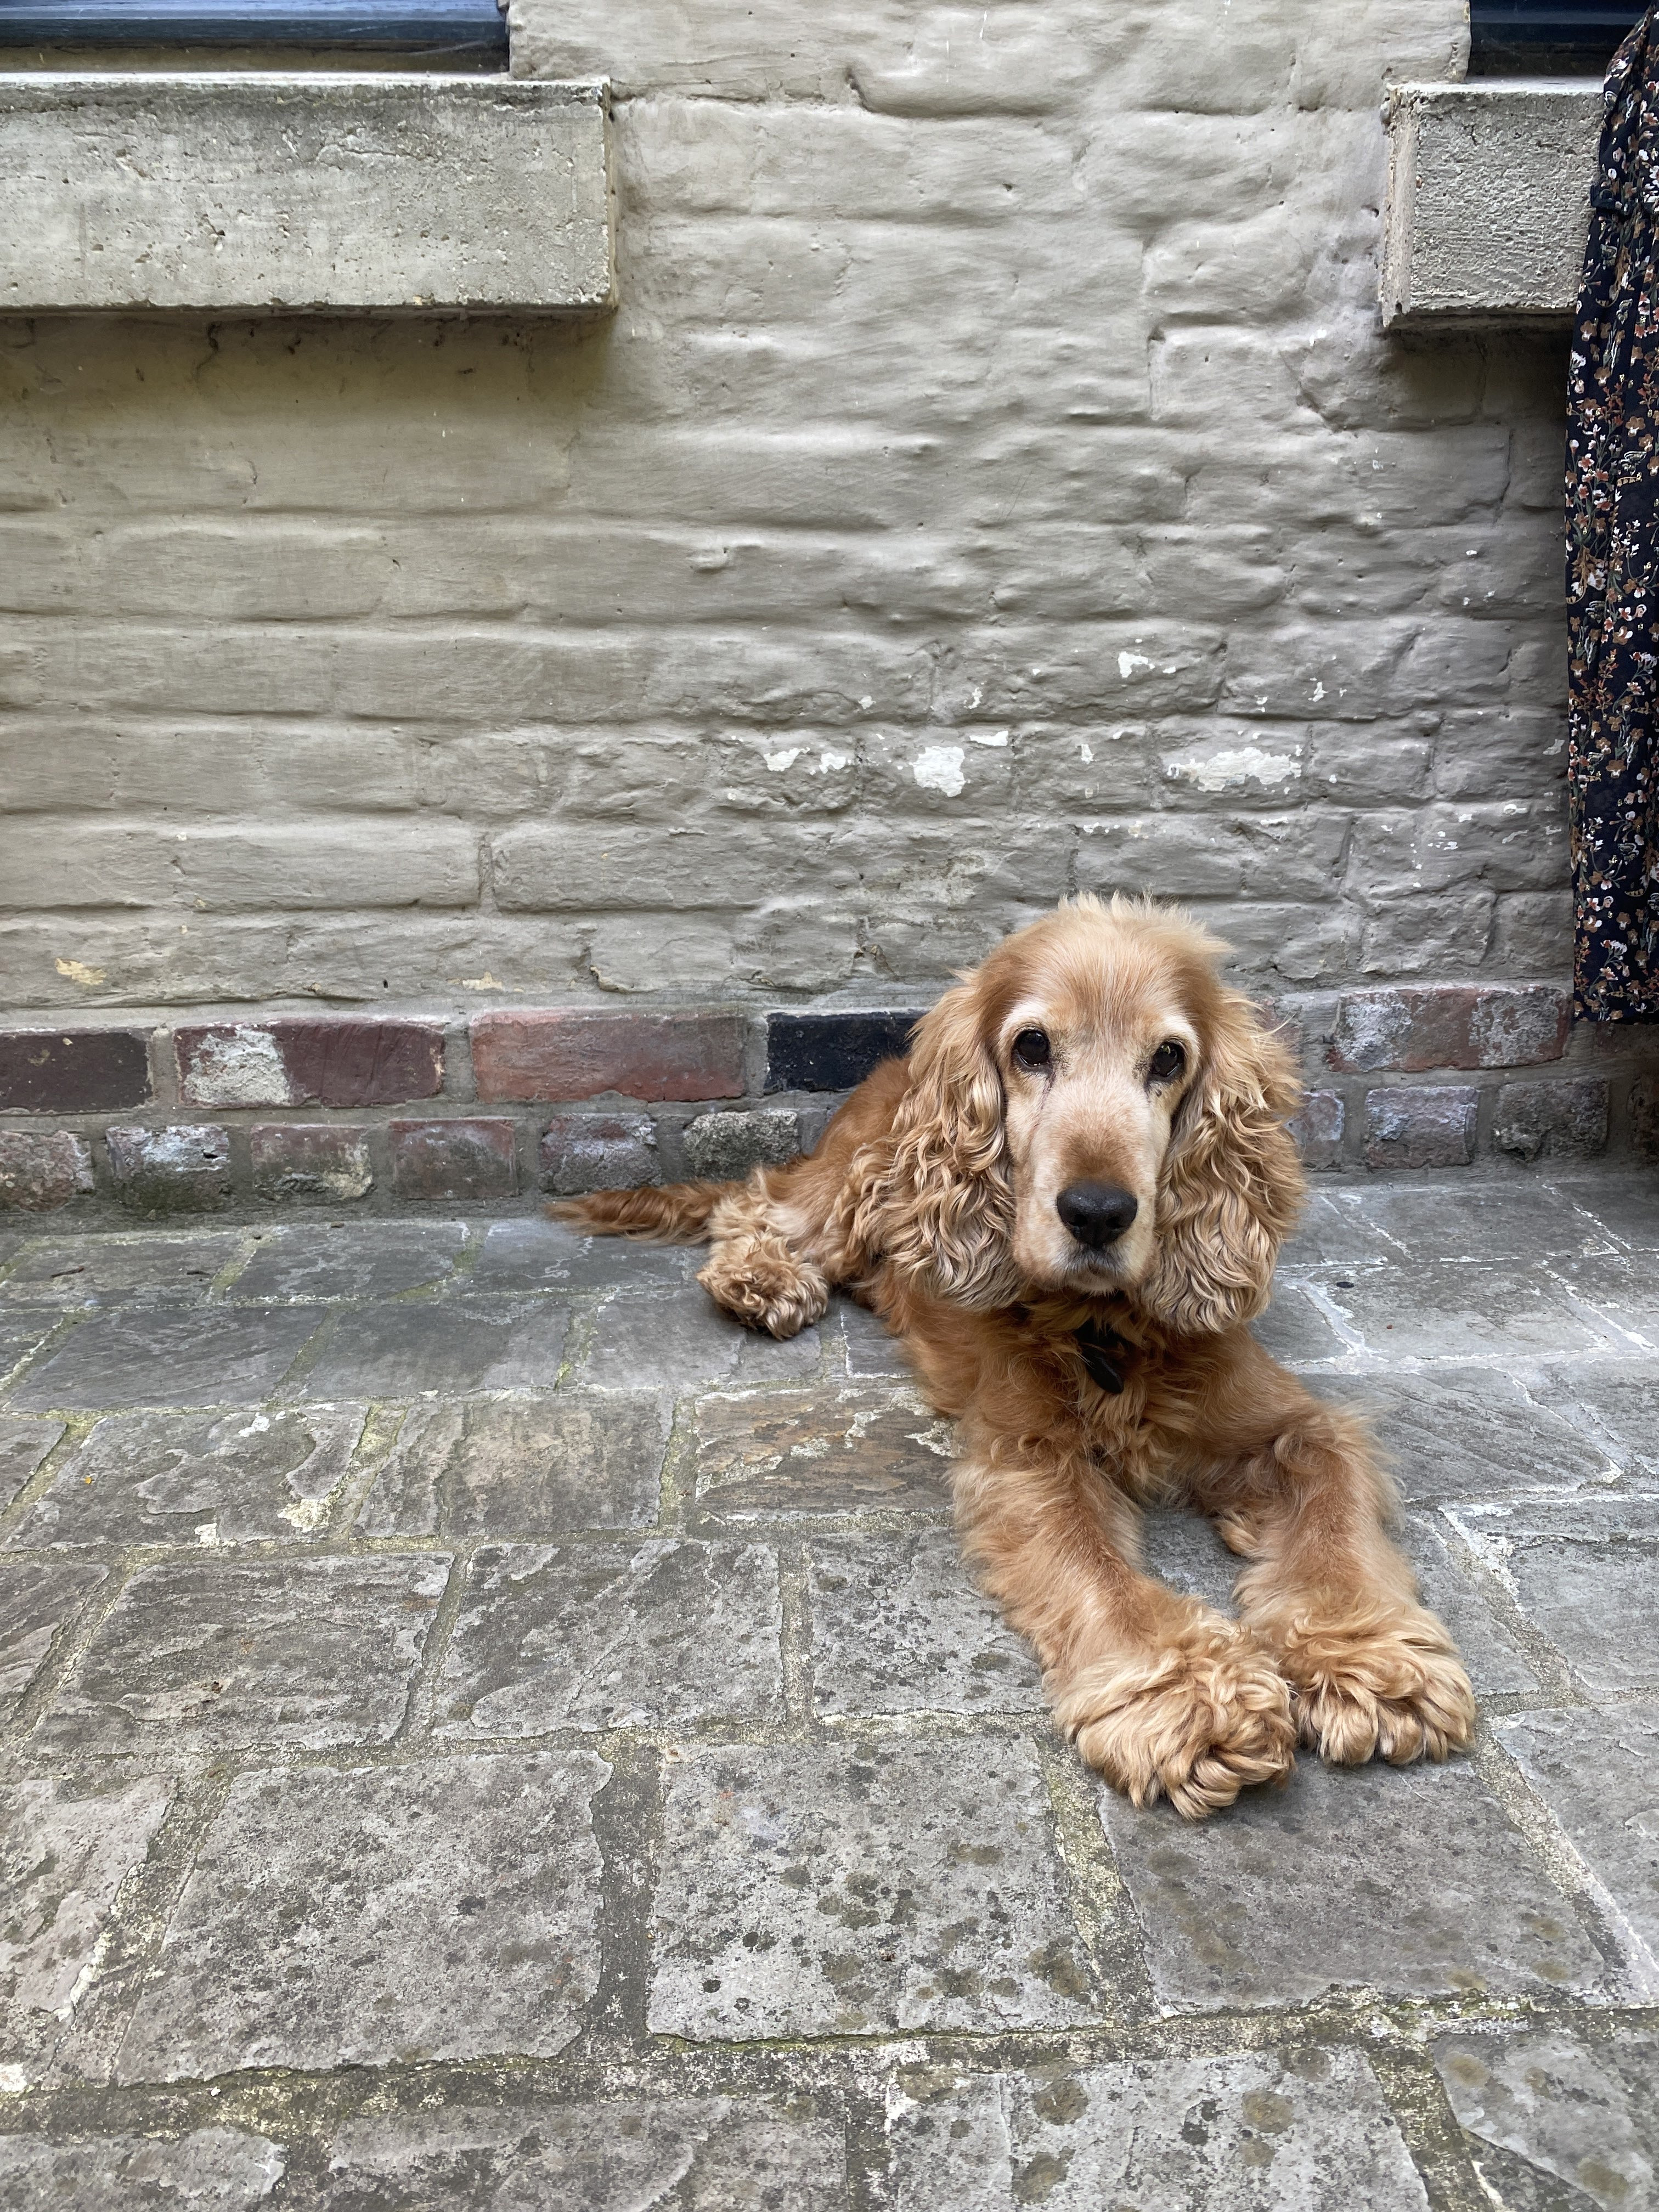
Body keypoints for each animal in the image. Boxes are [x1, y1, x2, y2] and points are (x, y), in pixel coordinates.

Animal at [557, 896, 1476, 1818]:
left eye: (1169, 1058)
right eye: (1032, 1046)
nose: (1099, 1212)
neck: (1104, 1328)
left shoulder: (1291, 1422)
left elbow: (1331, 1504)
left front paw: (1366, 1655)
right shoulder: (1032, 1452)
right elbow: (1093, 1564)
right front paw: (1186, 1695)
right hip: (858, 1182)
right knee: (760, 1206)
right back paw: (764, 1279)